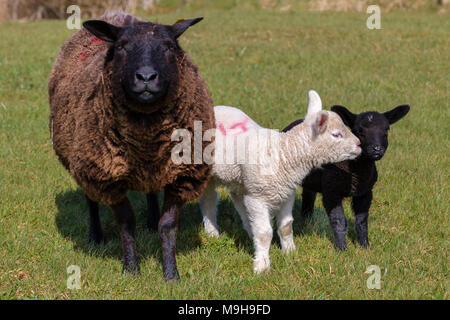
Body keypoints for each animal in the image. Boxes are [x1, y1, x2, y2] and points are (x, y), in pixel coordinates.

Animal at [200, 90, 362, 272]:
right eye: (336, 134)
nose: (359, 144)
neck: (284, 153)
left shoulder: (287, 193)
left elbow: (286, 226)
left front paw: (289, 251)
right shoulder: (257, 198)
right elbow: (264, 233)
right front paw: (262, 265)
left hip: (239, 180)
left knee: (230, 199)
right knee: (209, 200)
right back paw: (213, 233)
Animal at [284, 105, 410, 250]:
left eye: (386, 130)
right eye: (359, 131)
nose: (377, 149)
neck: (356, 174)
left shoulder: (365, 192)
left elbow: (361, 220)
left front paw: (364, 246)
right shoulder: (331, 191)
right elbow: (339, 219)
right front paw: (342, 248)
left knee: (309, 194)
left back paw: (307, 219)